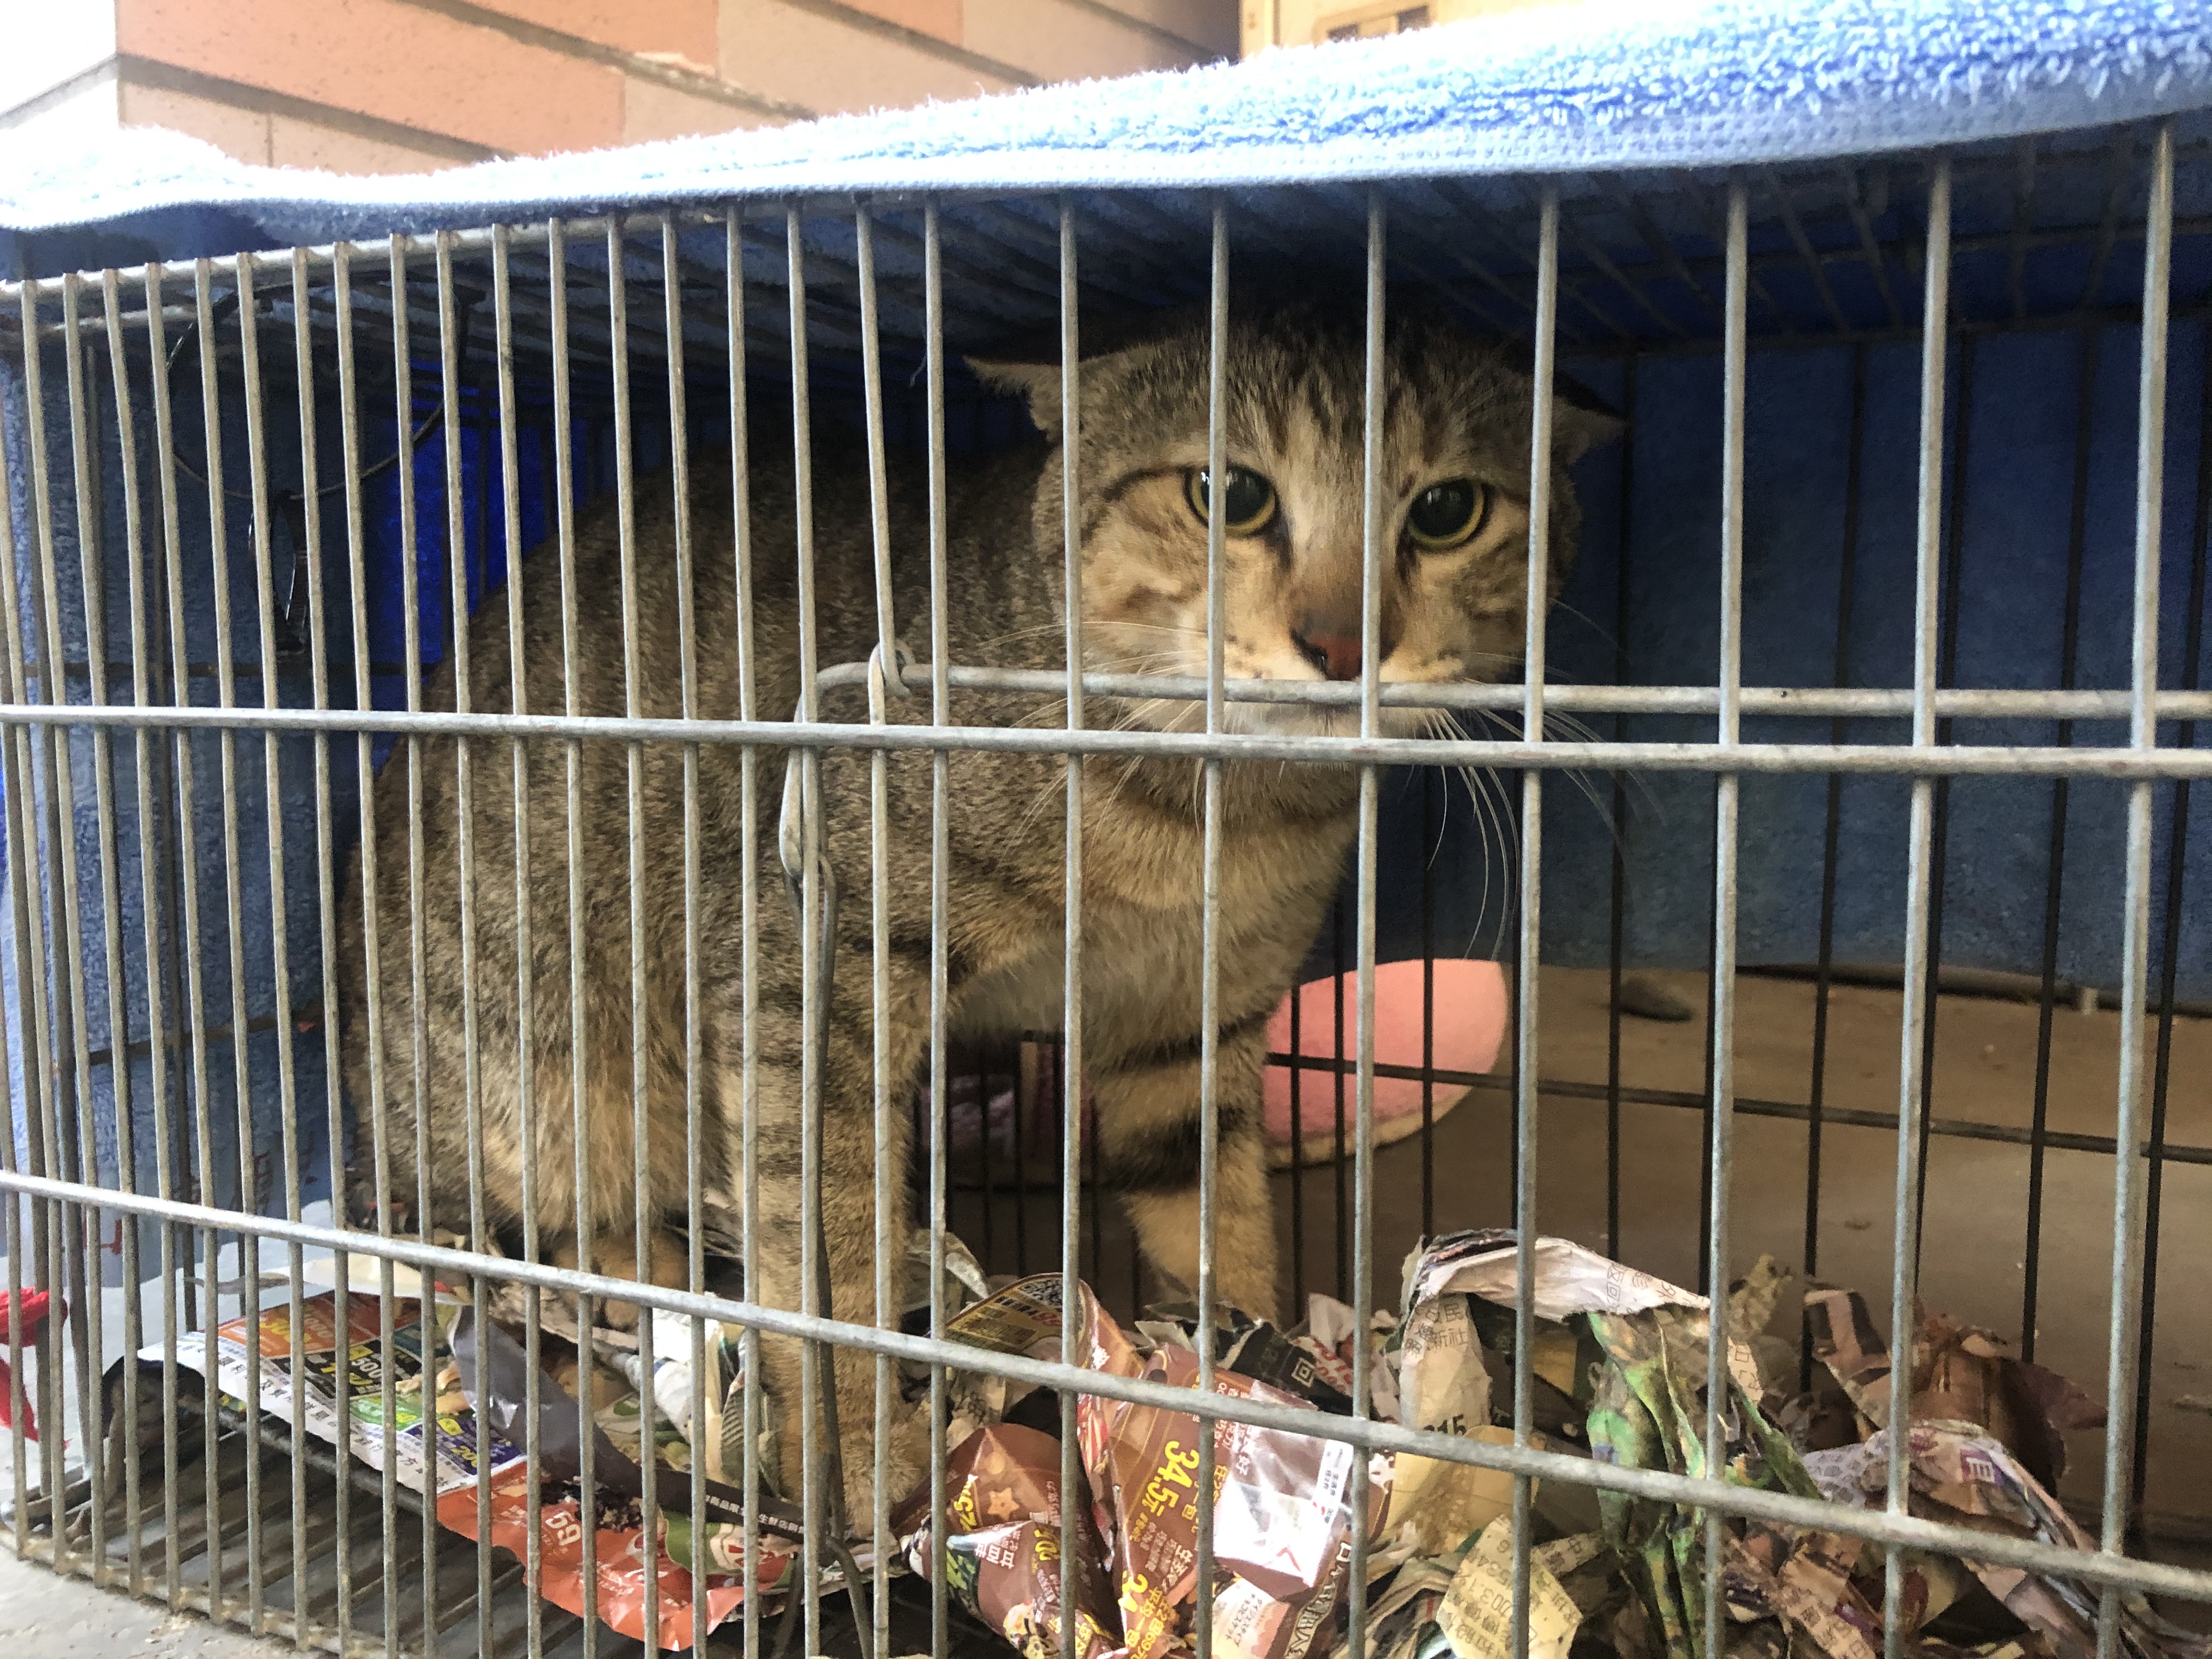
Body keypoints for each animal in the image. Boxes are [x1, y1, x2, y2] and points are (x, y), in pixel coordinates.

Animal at [335, 288, 1616, 1520]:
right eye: (1231, 494)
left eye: (1446, 509)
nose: (1342, 641)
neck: (1214, 809)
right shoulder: (811, 982)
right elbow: (829, 1255)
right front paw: (855, 1454)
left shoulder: (1191, 1023)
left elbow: (1218, 1214)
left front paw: (1258, 1378)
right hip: (554, 1080)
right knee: (566, 1223)